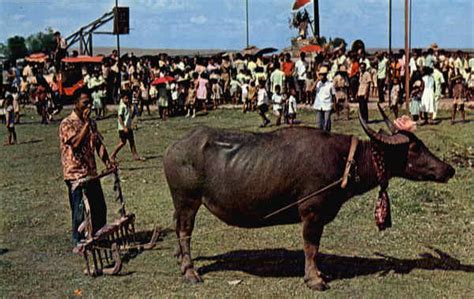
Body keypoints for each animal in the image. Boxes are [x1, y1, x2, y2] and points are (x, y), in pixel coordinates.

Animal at [164, 110, 456, 290]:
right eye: (415, 147)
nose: (448, 169)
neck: (346, 162)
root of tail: (174, 147)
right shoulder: (312, 213)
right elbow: (311, 247)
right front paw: (315, 279)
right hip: (187, 200)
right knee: (184, 231)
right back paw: (190, 272)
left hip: (182, 204)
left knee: (177, 227)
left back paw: (180, 261)